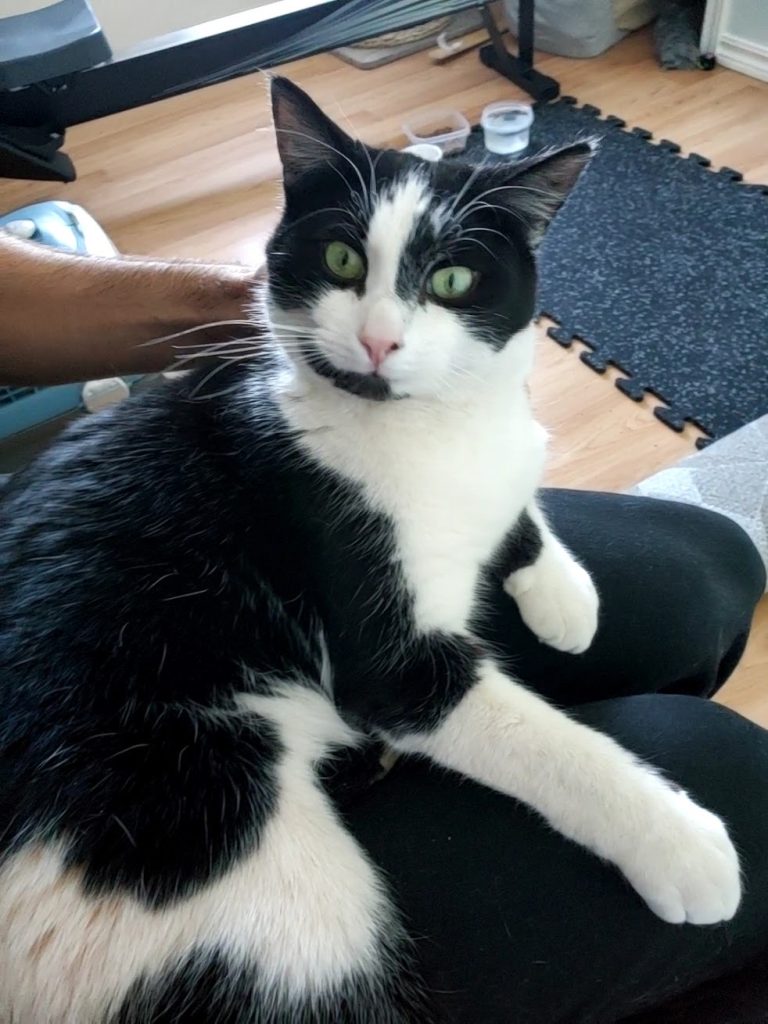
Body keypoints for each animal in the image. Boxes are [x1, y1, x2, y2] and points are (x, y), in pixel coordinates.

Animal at [0, 79, 741, 1024]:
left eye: (453, 278)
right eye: (343, 259)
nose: (380, 340)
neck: (426, 426)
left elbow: (516, 493)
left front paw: (562, 591)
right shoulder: (377, 635)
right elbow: (539, 741)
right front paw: (681, 842)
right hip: (244, 891)